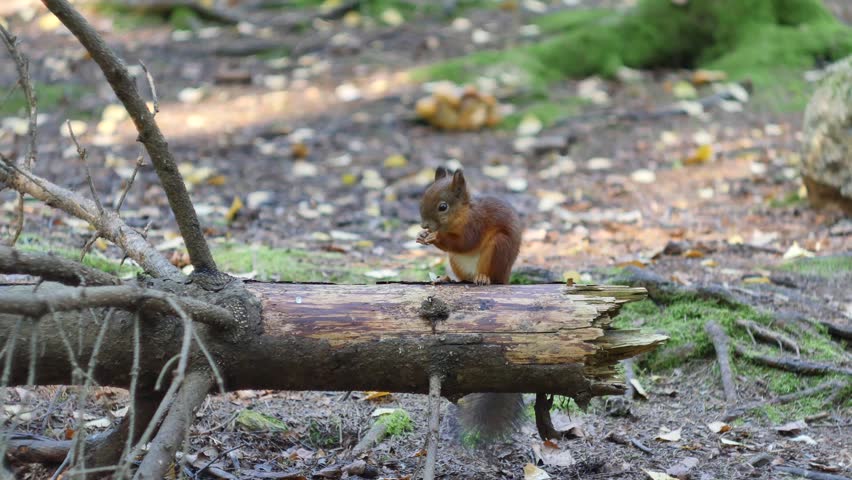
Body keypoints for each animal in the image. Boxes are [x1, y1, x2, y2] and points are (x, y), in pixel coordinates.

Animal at [416, 166, 525, 441]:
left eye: (443, 206)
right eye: (422, 198)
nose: (424, 225)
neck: (462, 215)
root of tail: (506, 274)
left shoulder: (474, 226)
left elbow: (463, 241)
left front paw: (433, 237)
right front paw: (422, 235)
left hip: (498, 248)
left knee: (488, 274)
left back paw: (483, 279)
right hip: (456, 262)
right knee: (461, 277)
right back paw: (446, 278)